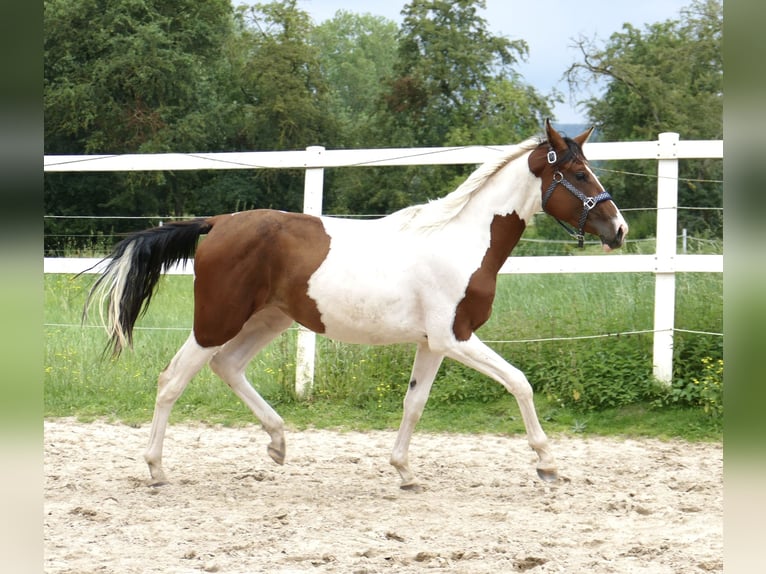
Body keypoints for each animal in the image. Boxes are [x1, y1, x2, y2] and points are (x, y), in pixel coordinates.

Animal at [84, 121, 632, 490]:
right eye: (578, 173)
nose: (619, 229)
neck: (462, 241)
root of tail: (216, 223)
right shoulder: (456, 337)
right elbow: (520, 381)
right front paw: (547, 464)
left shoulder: (433, 344)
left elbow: (414, 403)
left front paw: (405, 472)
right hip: (216, 321)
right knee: (172, 379)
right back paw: (157, 470)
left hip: (267, 320)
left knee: (229, 367)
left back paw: (278, 443)